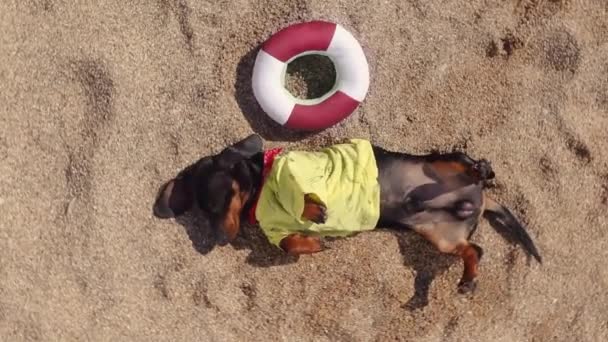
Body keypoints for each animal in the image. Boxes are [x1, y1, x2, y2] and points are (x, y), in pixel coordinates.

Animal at [153, 135, 540, 292]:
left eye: (217, 202)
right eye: (204, 212)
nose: (217, 240)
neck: (259, 192)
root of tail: (477, 199)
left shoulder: (300, 172)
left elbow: (298, 191)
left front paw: (312, 208)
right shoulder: (279, 234)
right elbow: (290, 243)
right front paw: (315, 243)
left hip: (441, 163)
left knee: (469, 162)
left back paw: (480, 169)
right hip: (441, 238)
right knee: (475, 250)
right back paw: (466, 280)